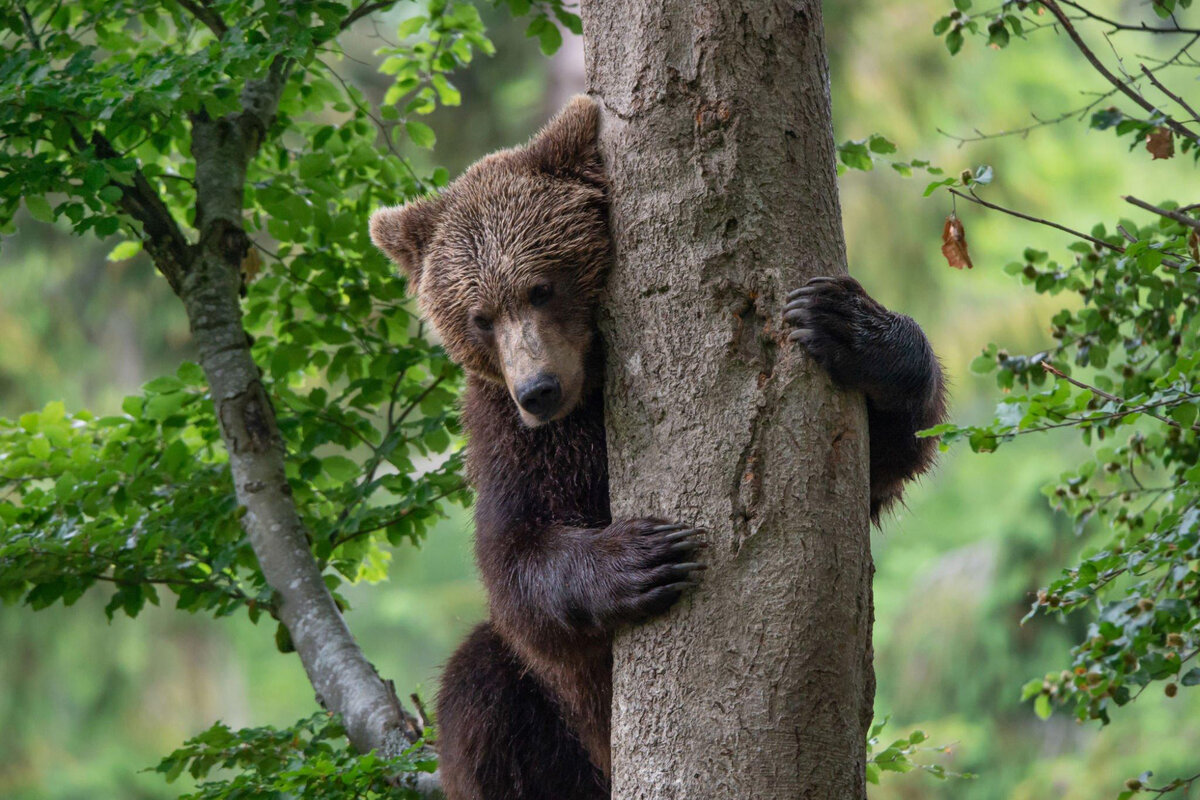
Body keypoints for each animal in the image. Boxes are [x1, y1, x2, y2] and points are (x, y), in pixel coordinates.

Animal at [369, 95, 950, 800]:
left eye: (542, 287)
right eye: (479, 316)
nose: (538, 389)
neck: (591, 388)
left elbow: (885, 461)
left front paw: (850, 326)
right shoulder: (511, 437)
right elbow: (514, 553)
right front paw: (643, 556)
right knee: (481, 689)